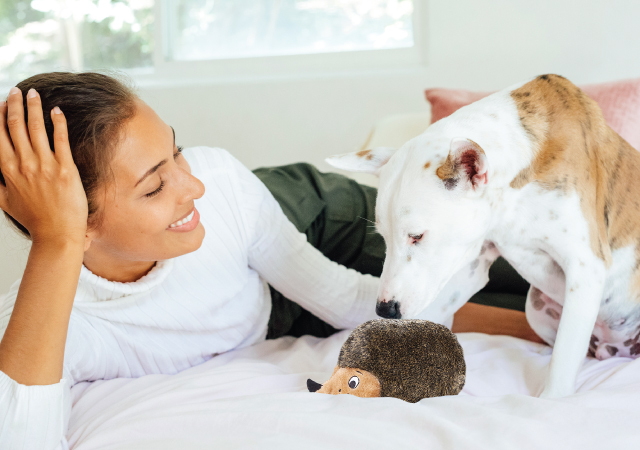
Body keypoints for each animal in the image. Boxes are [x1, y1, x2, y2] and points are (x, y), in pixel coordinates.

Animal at [328, 74, 640, 398]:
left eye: (417, 236)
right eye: (384, 238)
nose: (384, 309)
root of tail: (616, 349)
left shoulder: (585, 268)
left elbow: (564, 362)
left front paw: (550, 400)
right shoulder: (471, 267)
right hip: (536, 307)